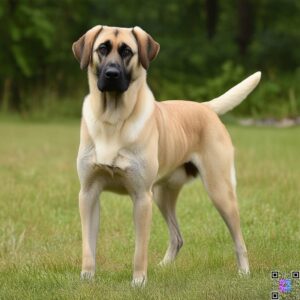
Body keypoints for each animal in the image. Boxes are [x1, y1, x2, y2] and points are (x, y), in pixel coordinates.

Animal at [72, 25, 260, 286]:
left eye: (127, 51)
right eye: (102, 48)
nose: (111, 74)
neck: (113, 120)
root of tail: (205, 107)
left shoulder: (142, 197)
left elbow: (139, 250)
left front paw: (138, 281)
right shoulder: (88, 193)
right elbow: (87, 246)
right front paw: (87, 278)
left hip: (220, 192)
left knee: (239, 239)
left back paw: (244, 272)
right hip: (162, 195)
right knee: (177, 237)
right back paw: (163, 267)